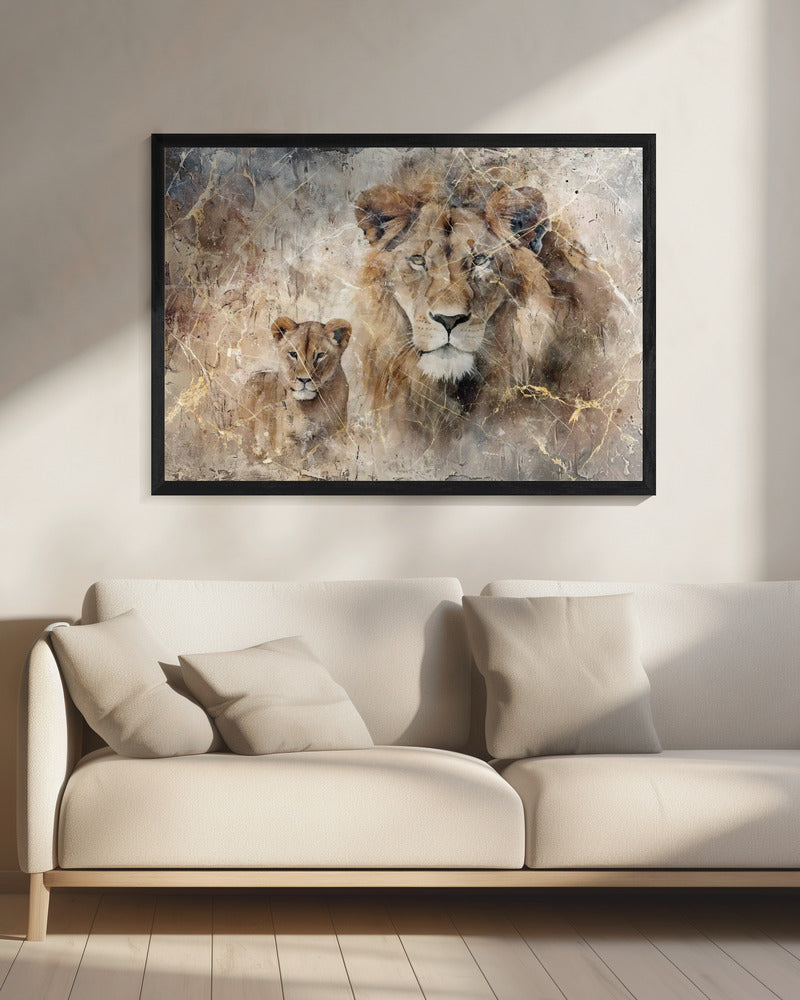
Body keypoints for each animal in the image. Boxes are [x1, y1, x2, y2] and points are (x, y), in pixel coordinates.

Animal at [239, 316, 352, 461]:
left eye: (320, 355)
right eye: (293, 354)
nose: (304, 379)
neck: (310, 408)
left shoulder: (334, 437)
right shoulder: (289, 441)